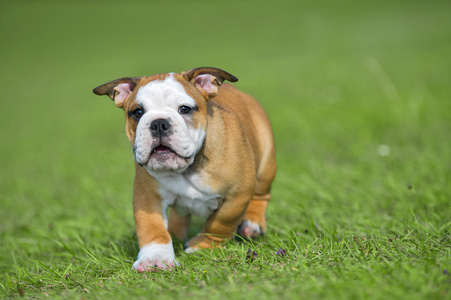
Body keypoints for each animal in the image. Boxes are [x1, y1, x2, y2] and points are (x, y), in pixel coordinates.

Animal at [93, 67, 278, 272]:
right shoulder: (148, 196)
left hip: (266, 163)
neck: (186, 169)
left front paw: (202, 246)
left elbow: (220, 223)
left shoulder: (238, 195)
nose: (158, 123)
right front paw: (155, 257)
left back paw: (251, 223)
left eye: (184, 109)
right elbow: (151, 227)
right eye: (137, 112)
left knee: (261, 195)